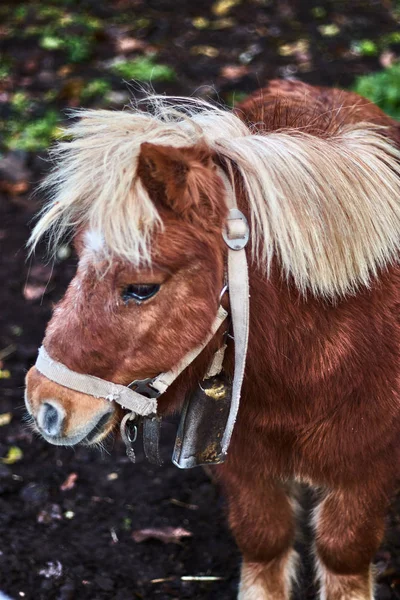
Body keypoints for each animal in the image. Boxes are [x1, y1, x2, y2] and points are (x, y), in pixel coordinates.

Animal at [24, 81, 400, 600]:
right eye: (78, 263)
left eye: (142, 288)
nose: (44, 403)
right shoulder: (246, 469)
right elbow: (264, 543)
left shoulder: (365, 473)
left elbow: (343, 556)